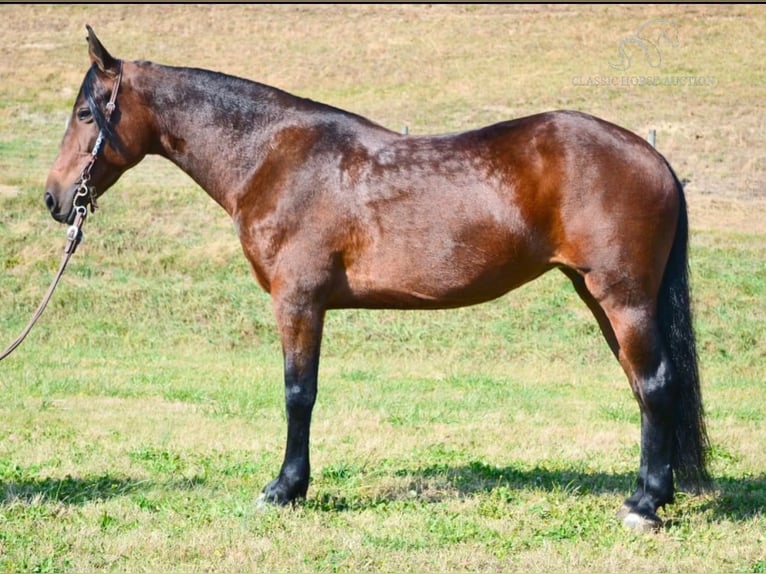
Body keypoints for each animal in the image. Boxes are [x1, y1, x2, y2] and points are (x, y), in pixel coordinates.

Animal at [45, 25, 712, 532]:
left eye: (85, 113)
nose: (54, 198)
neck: (273, 158)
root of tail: (652, 157)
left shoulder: (299, 303)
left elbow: (298, 393)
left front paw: (285, 489)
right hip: (601, 298)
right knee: (644, 387)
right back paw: (649, 493)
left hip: (623, 299)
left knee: (655, 384)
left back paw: (645, 506)